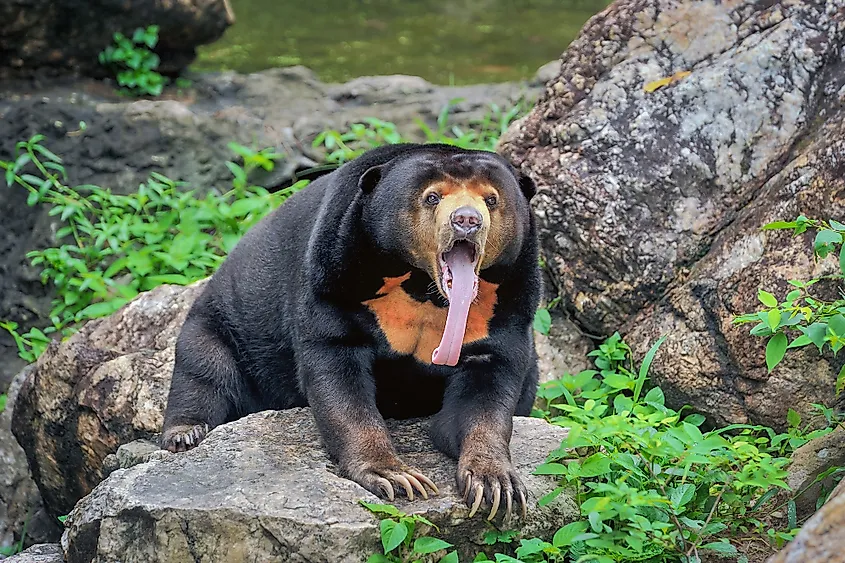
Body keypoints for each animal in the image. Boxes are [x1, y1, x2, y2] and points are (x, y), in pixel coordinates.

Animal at [161, 143, 541, 521]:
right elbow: (337, 374)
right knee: (204, 369)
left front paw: (495, 485)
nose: (466, 220)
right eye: (432, 197)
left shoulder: (504, 307)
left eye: (491, 199)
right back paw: (185, 433)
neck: (423, 288)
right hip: (218, 324)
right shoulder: (334, 275)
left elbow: (487, 390)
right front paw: (396, 477)